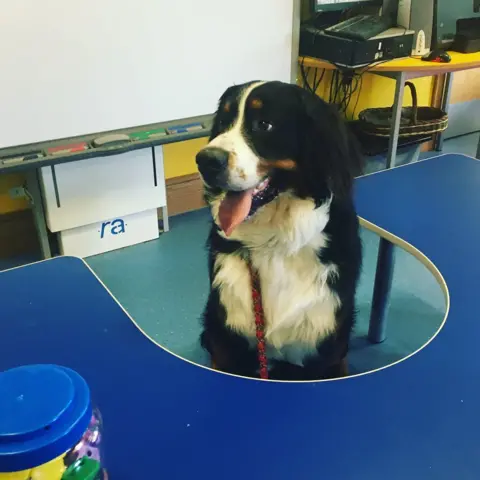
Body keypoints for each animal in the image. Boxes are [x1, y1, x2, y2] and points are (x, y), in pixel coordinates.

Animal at [194, 82, 360, 382]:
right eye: (224, 122)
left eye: (264, 125)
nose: (205, 160)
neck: (275, 242)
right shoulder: (228, 340)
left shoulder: (322, 345)